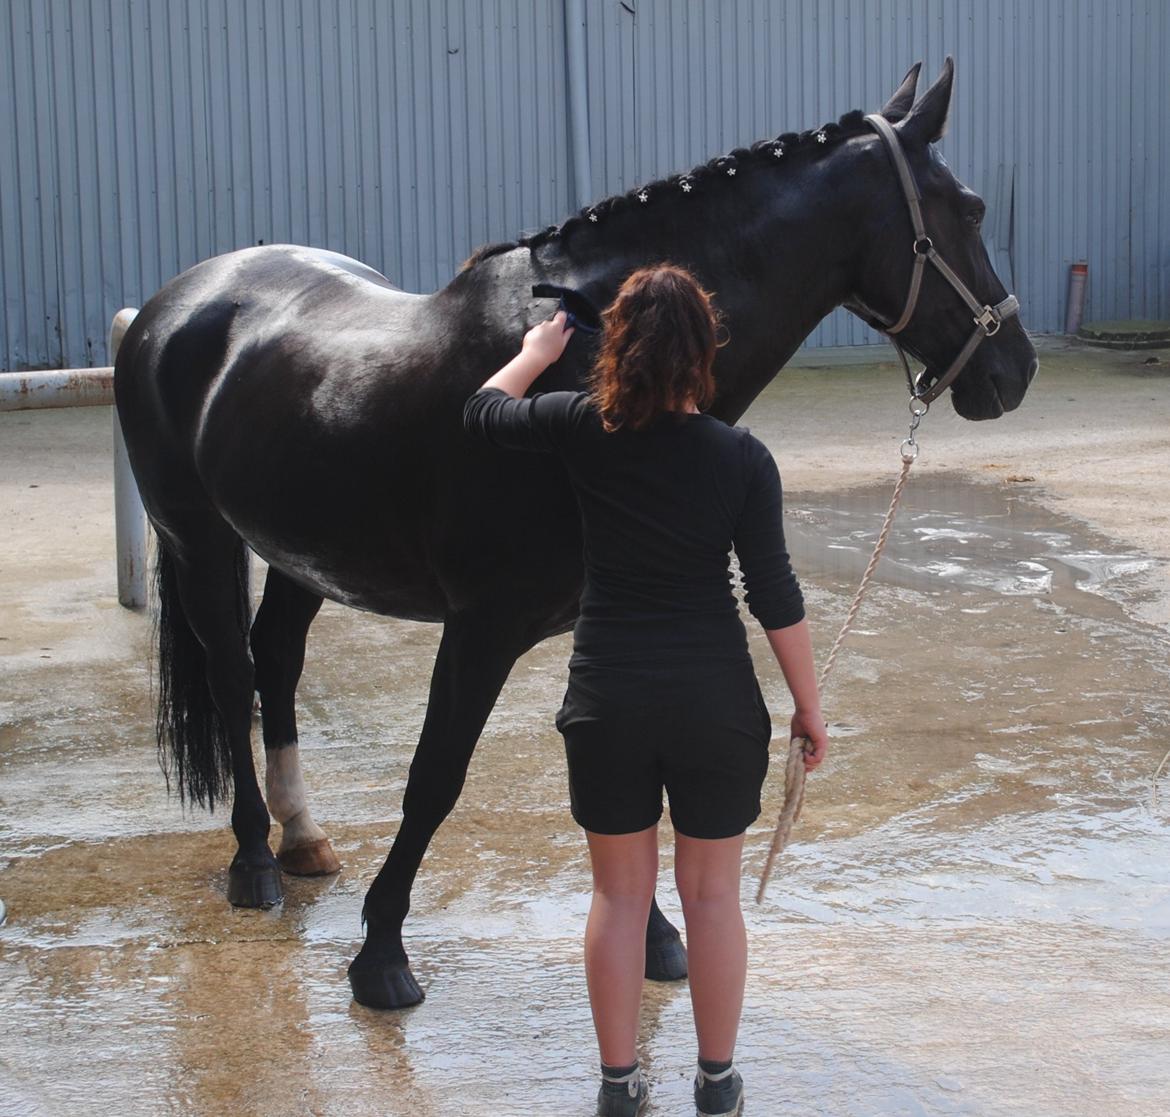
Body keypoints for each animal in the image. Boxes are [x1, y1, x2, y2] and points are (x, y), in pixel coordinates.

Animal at [114, 56, 1038, 1010]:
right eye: (970, 209)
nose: (1016, 370)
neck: (592, 358)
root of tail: (178, 301)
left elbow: (620, 772)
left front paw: (658, 939)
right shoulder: (480, 628)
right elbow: (434, 778)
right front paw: (381, 955)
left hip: (304, 554)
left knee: (277, 659)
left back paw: (301, 838)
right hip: (199, 538)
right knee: (232, 676)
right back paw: (253, 859)